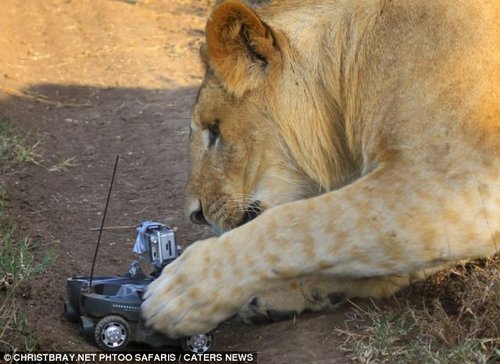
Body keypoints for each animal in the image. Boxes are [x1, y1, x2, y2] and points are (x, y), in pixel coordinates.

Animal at [142, 0, 500, 336]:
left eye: (214, 129)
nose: (195, 215)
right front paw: (287, 292)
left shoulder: (453, 174)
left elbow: (299, 223)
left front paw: (181, 292)